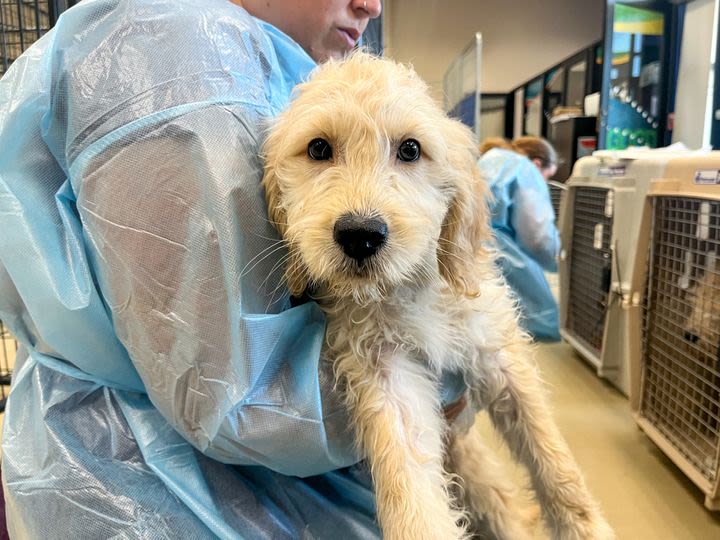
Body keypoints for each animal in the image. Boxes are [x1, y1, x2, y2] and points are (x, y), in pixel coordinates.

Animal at [262, 51, 612, 540]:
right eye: (318, 149)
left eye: (410, 149)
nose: (360, 235)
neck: (408, 288)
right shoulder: (385, 370)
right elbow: (409, 485)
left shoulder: (498, 351)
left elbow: (551, 454)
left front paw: (586, 526)